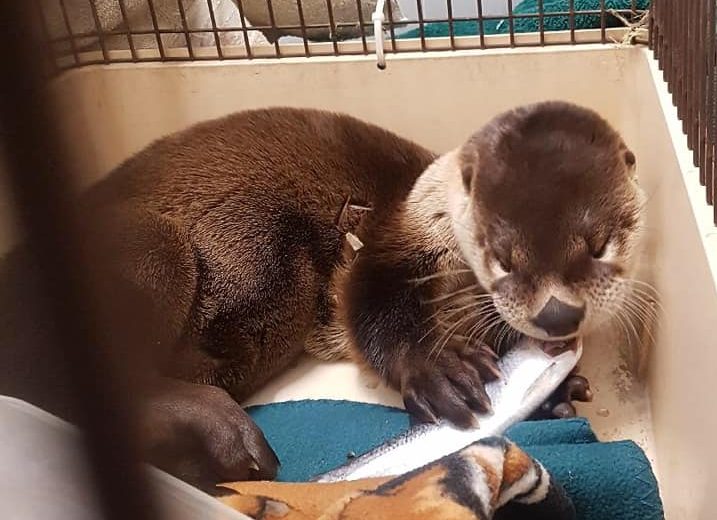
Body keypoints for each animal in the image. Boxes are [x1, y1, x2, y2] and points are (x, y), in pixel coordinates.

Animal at [0, 102, 642, 492]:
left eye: (598, 244)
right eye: (502, 250)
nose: (559, 313)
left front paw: (560, 394)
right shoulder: (384, 246)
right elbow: (372, 312)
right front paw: (441, 370)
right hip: (150, 248)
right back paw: (219, 428)